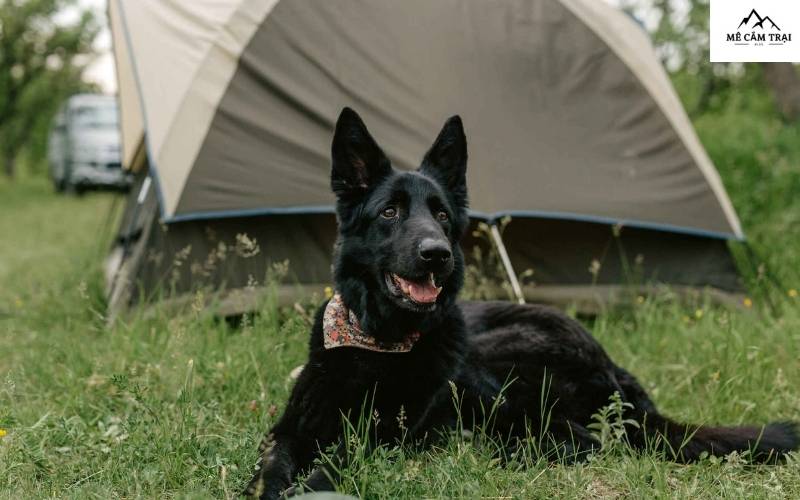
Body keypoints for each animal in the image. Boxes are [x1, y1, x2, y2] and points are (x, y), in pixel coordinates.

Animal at [245, 108, 800, 496]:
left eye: (441, 215)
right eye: (389, 212)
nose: (436, 255)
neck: (379, 342)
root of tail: (618, 372)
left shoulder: (379, 438)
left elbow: (330, 463)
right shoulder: (291, 428)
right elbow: (271, 465)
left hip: (502, 363)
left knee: (585, 442)